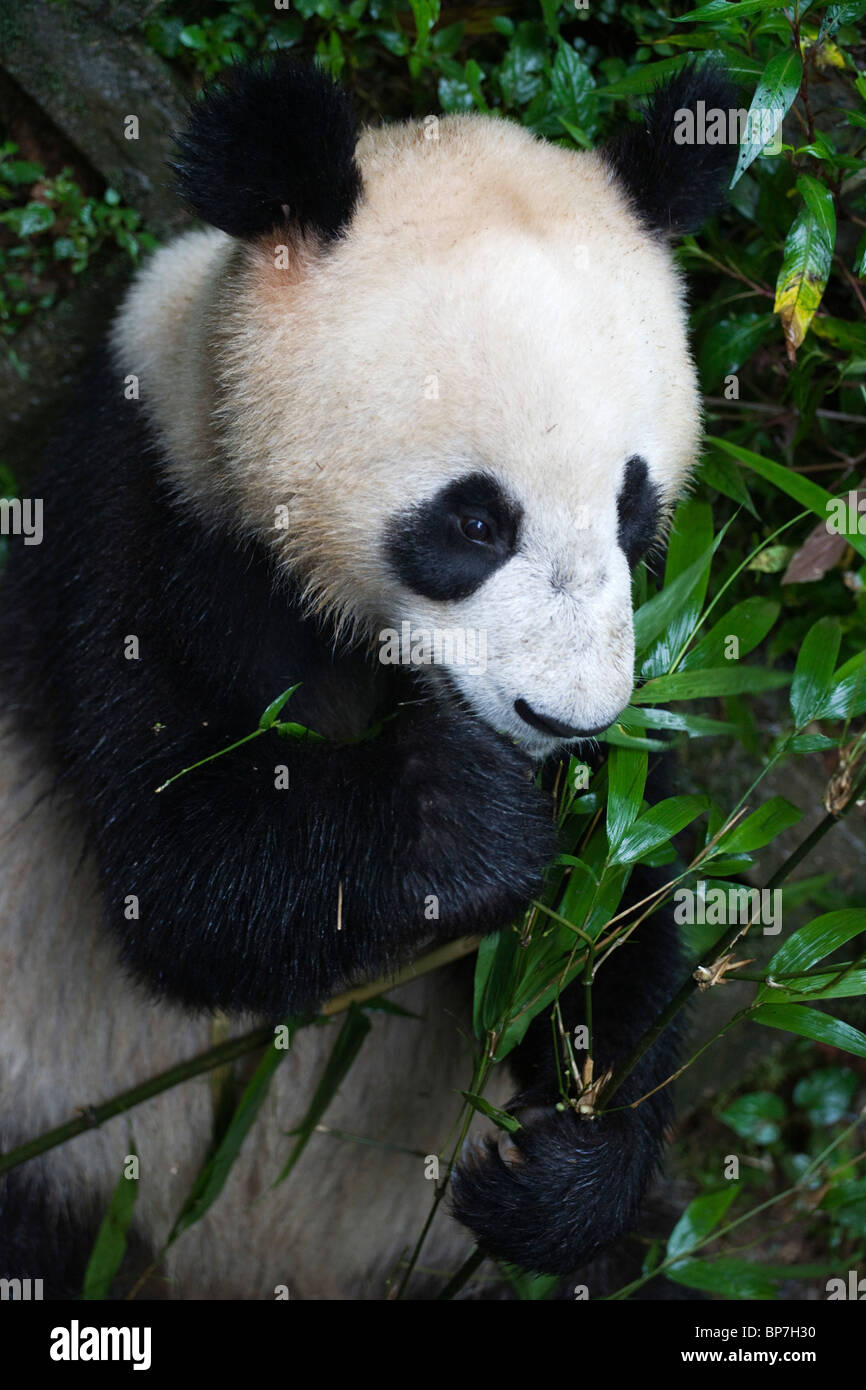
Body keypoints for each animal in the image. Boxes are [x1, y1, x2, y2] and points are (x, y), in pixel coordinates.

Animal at [0, 51, 733, 1289]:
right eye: (474, 520)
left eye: (631, 505)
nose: (558, 716)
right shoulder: (147, 512)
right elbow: (179, 869)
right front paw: (469, 820)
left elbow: (618, 897)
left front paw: (568, 1159)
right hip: (64, 1132)